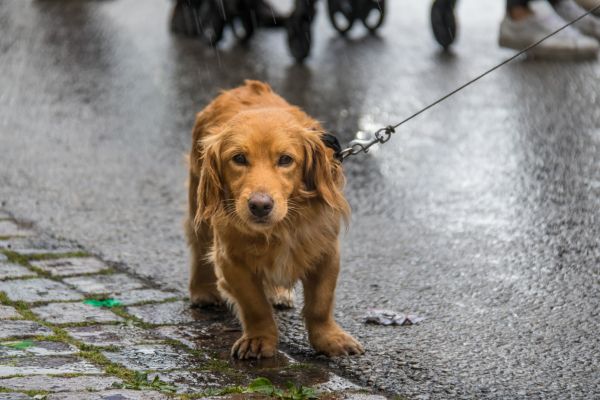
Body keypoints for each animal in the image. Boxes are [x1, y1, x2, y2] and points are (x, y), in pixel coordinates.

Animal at [185, 79, 364, 358]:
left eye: (285, 159)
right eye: (238, 158)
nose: (260, 206)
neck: (283, 227)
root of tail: (247, 86)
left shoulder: (326, 252)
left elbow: (320, 304)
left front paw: (329, 339)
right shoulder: (231, 260)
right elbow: (255, 305)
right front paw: (259, 339)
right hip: (198, 206)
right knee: (199, 246)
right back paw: (202, 290)